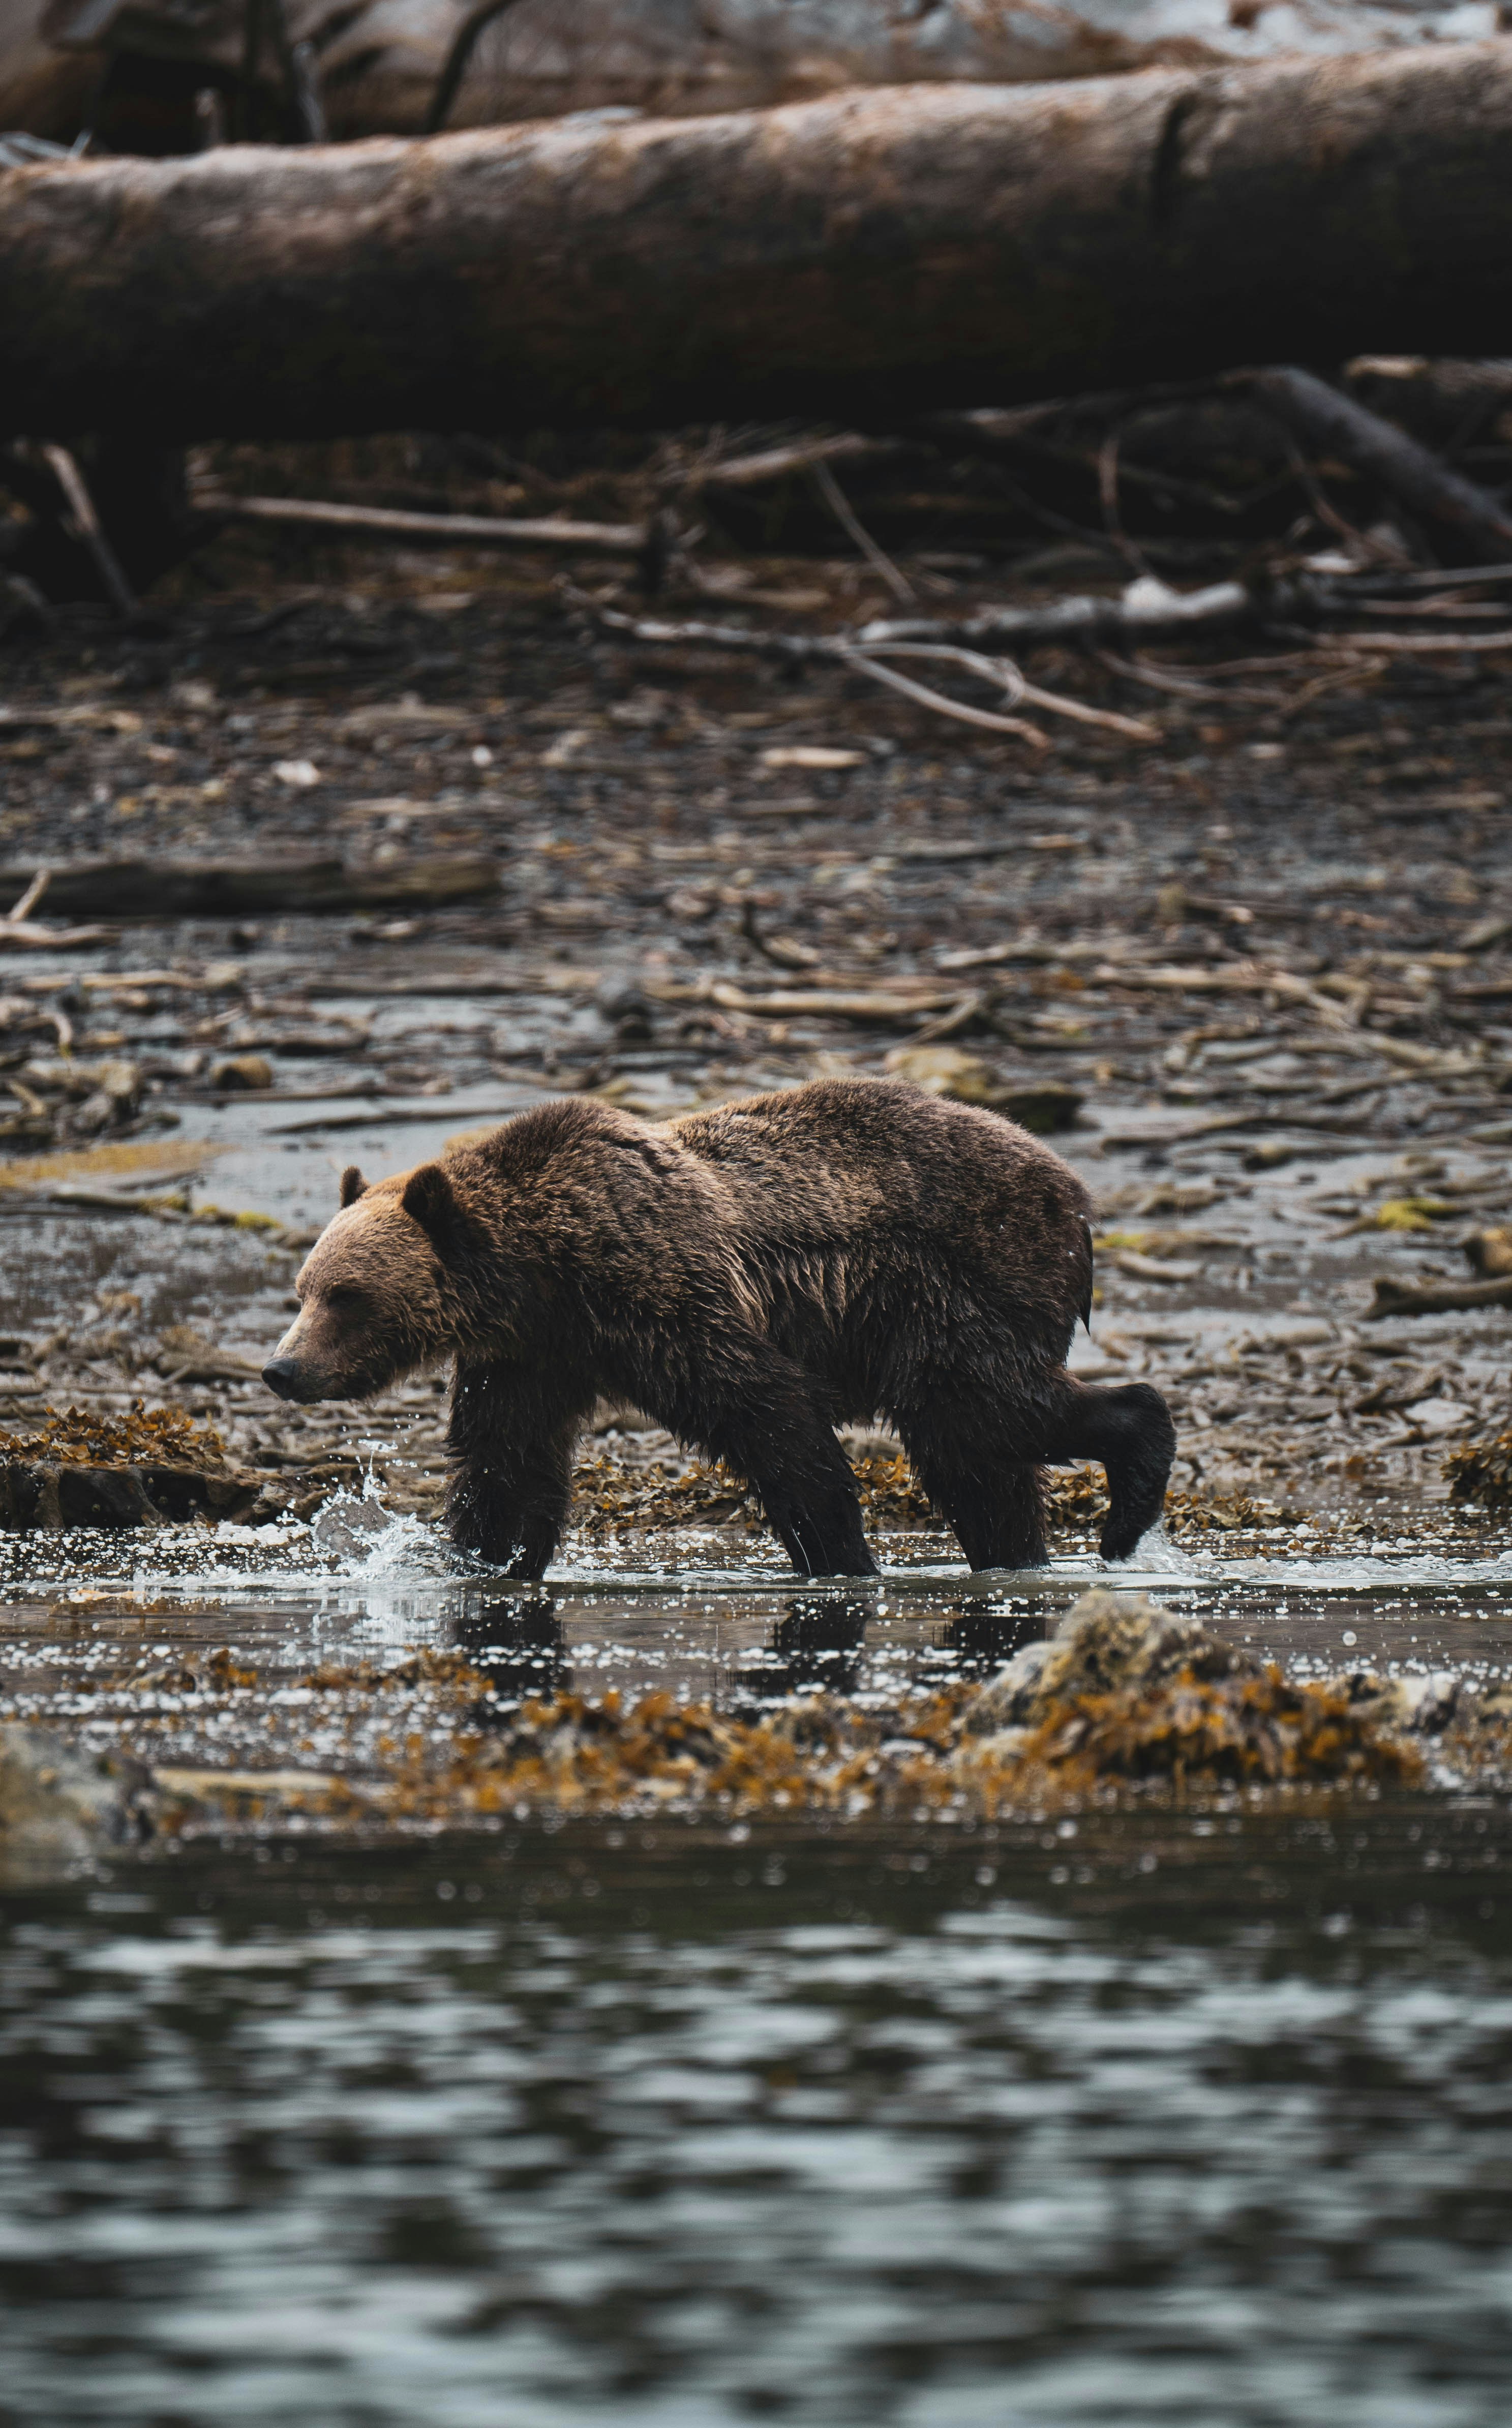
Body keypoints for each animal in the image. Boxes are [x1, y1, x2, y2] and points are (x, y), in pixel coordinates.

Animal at [262, 1076, 1175, 1579]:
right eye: (301, 1291)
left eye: (345, 1294)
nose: (282, 1370)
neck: (542, 1270)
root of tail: (1073, 1190)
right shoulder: (532, 1355)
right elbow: (507, 1464)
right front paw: (483, 1561)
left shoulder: (659, 1292)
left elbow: (768, 1415)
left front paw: (838, 1556)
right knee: (976, 1462)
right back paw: (1017, 1552)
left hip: (958, 1283)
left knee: (981, 1409)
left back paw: (1127, 1498)